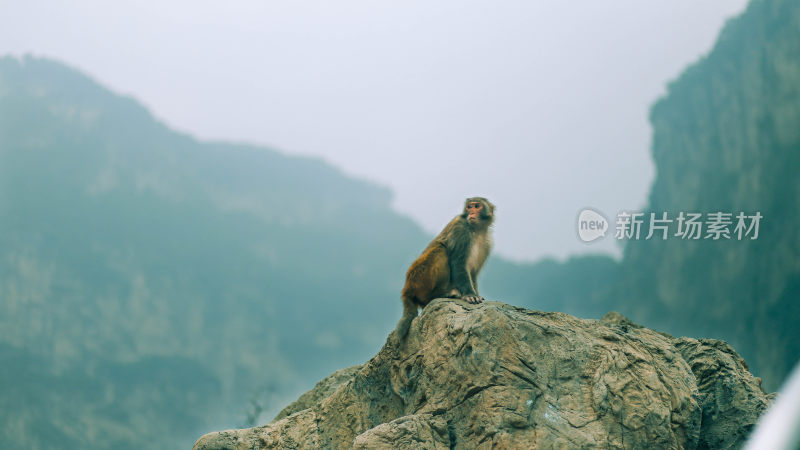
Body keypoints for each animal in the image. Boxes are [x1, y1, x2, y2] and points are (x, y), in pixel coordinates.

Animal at [396, 197, 494, 338]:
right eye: (469, 207)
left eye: (477, 206)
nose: (471, 213)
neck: (476, 230)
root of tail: (407, 288)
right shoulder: (461, 231)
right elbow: (458, 263)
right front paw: (470, 295)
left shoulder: (487, 243)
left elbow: (473, 273)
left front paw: (475, 293)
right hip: (420, 278)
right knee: (441, 249)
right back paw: (438, 295)